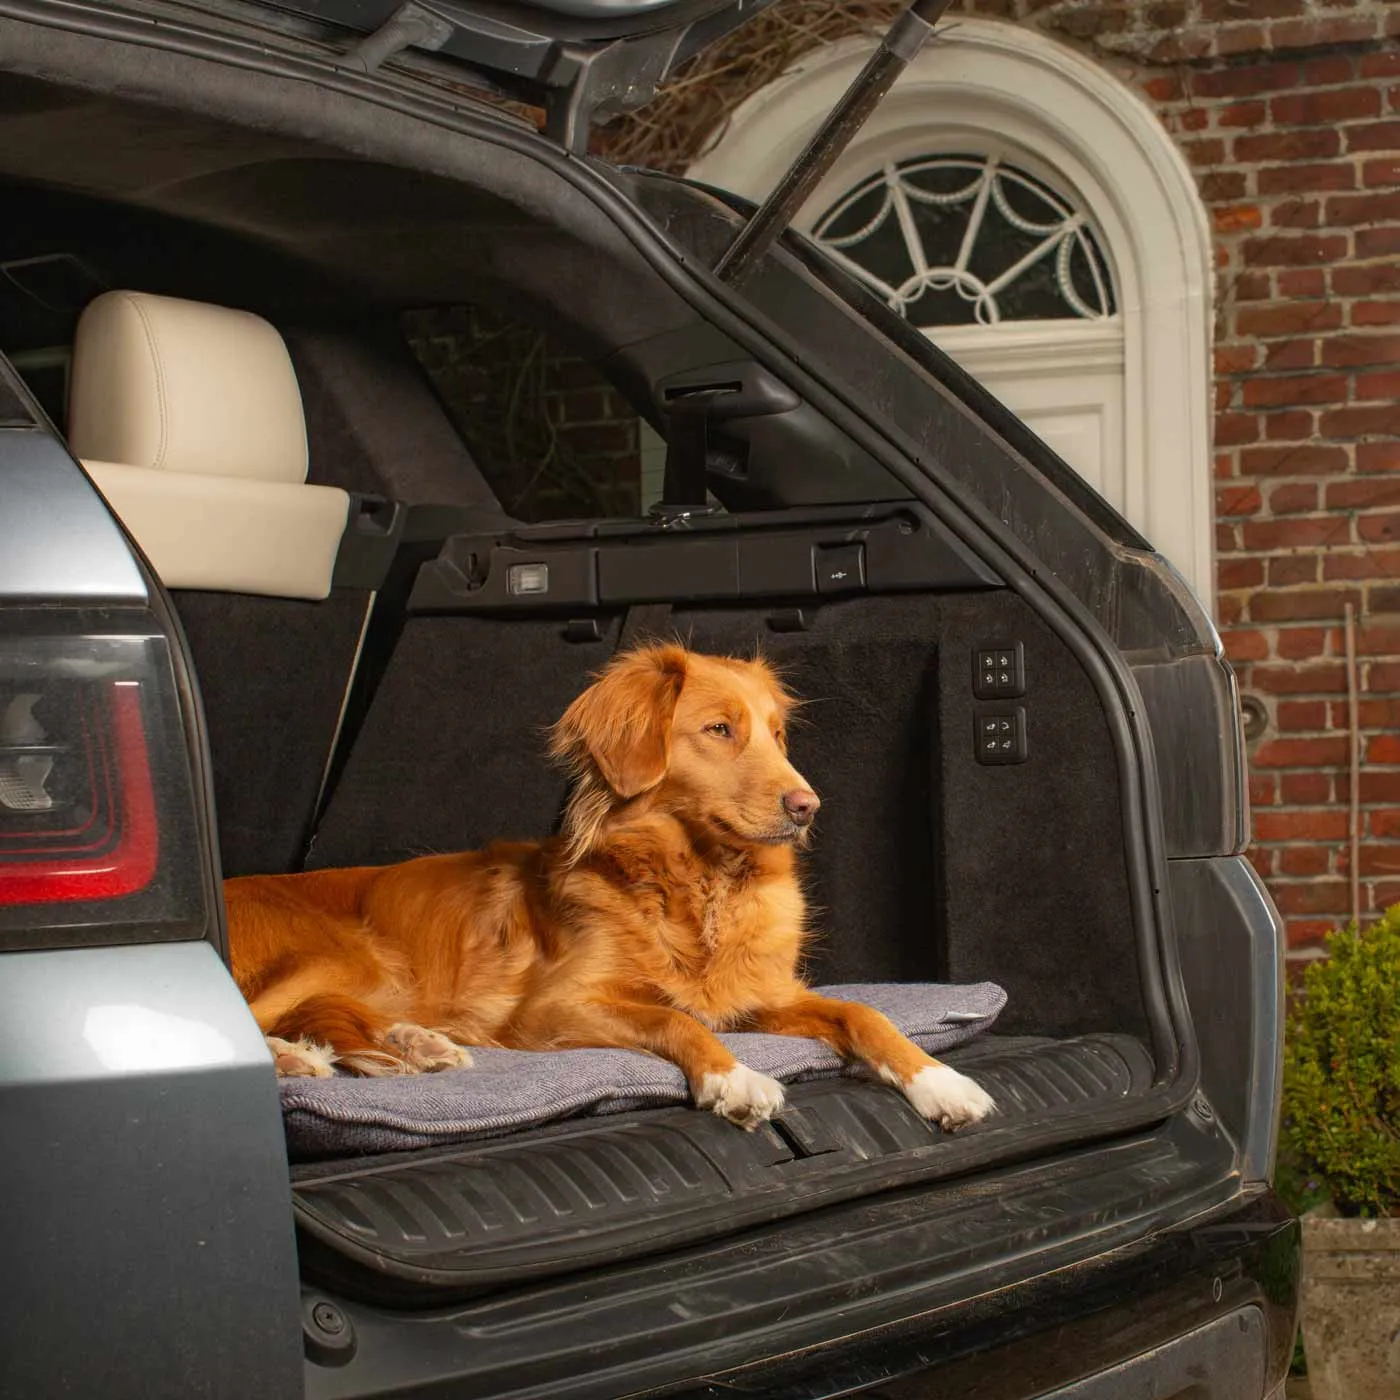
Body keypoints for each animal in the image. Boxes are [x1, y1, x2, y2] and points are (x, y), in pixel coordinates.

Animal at [226, 641, 996, 1125]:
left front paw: (942, 1083)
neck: (697, 890)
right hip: (341, 954)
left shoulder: (762, 996)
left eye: (778, 735)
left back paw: (418, 1047)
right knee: (256, 1019)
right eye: (719, 730)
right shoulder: (552, 1009)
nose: (807, 806)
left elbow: (865, 1014)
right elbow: (674, 1016)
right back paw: (298, 1062)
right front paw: (734, 1078)